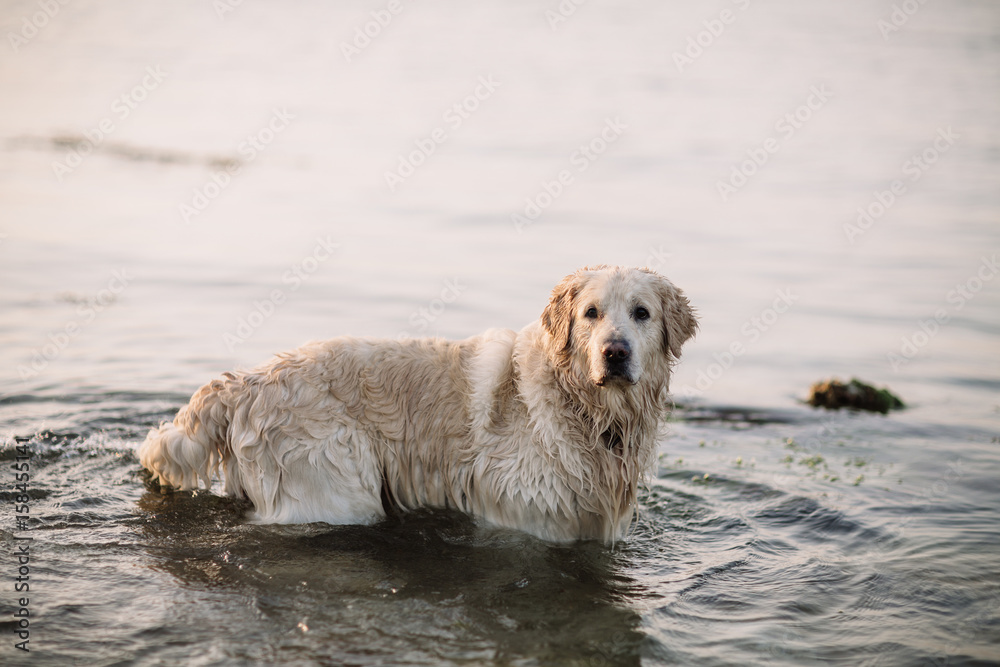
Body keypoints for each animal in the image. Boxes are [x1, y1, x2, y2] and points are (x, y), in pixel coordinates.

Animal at [139, 264, 696, 544]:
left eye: (642, 313)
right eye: (590, 313)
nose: (614, 352)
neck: (588, 413)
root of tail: (244, 382)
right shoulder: (525, 520)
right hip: (335, 490)